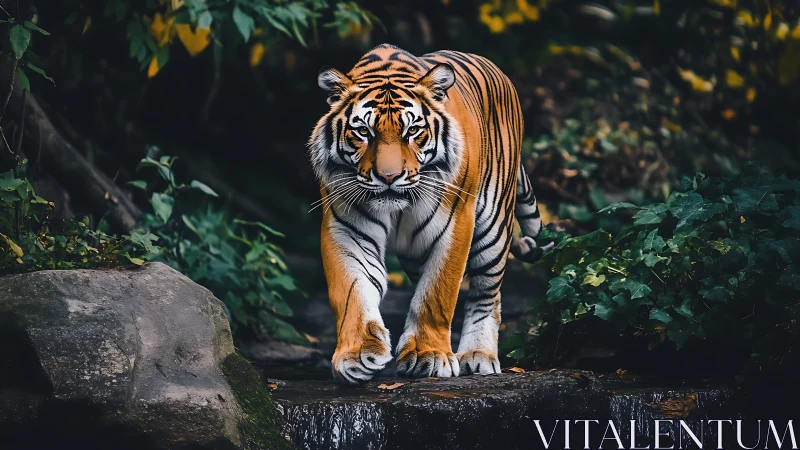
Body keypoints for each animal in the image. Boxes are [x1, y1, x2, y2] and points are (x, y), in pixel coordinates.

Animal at [308, 44, 549, 384]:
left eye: (412, 131)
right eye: (363, 131)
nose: (388, 176)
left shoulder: (455, 223)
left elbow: (436, 294)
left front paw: (429, 356)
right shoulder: (346, 227)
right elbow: (351, 291)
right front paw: (357, 355)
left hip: (493, 225)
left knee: (487, 293)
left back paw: (478, 354)